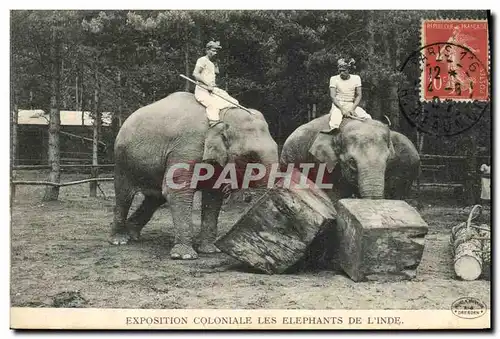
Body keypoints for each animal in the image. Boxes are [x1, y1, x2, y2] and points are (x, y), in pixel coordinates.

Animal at [110, 91, 280, 258]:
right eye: (250, 156)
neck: (220, 117)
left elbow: (213, 196)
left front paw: (210, 251)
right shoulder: (185, 149)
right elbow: (177, 191)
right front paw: (185, 256)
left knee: (154, 199)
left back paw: (133, 234)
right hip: (122, 160)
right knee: (124, 195)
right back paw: (119, 240)